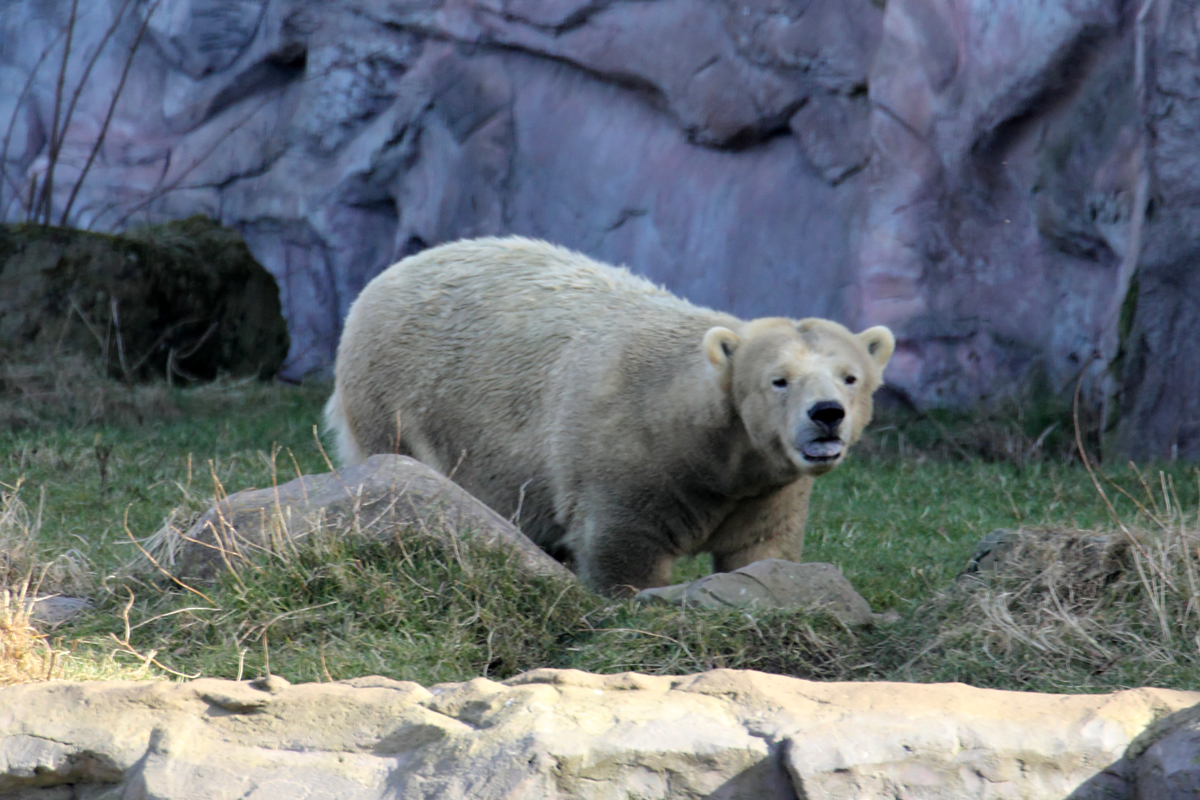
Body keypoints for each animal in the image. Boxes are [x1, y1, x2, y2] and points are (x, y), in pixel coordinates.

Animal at [326, 237, 892, 594]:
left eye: (850, 377)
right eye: (779, 379)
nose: (827, 414)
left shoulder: (766, 490)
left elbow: (760, 550)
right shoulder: (624, 458)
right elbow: (623, 555)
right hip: (397, 400)